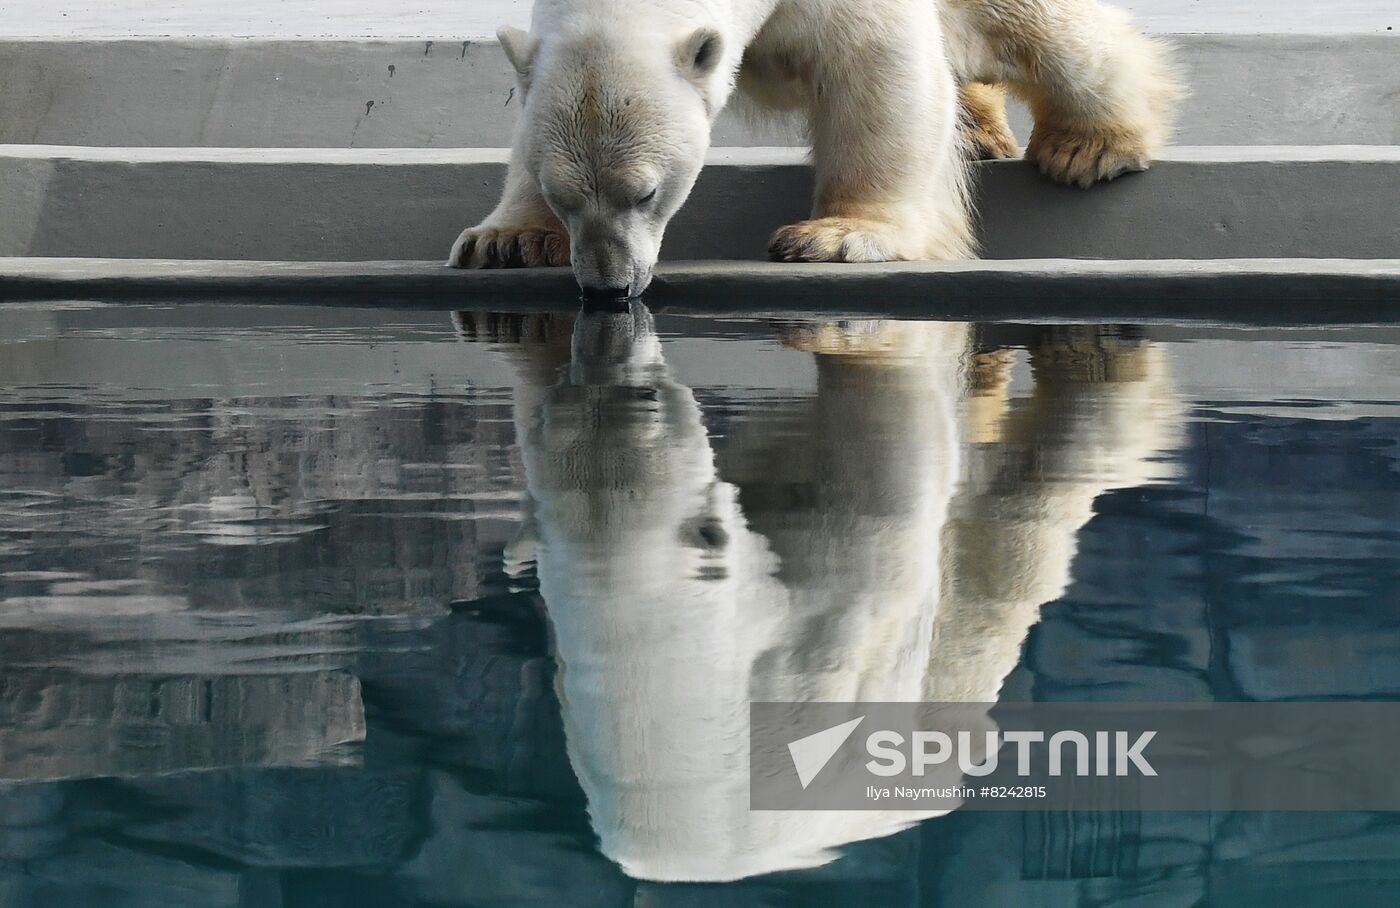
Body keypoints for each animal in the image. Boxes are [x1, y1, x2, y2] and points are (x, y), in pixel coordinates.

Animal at [448, 0, 1182, 297]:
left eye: (646, 192)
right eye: (561, 197)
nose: (609, 287)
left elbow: (878, 64)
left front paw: (839, 234)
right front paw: (507, 240)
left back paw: (1091, 144)